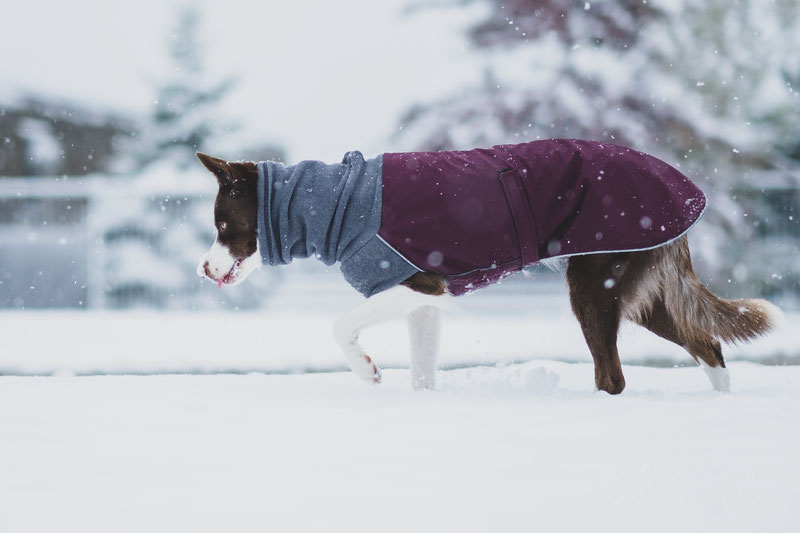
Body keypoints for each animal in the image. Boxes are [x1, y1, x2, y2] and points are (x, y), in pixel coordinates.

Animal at [197, 139, 780, 392]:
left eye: (222, 225)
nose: (203, 268)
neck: (337, 201)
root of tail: (681, 186)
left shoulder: (420, 283)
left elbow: (341, 324)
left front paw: (366, 371)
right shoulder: (423, 304)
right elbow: (423, 373)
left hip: (593, 283)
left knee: (614, 375)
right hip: (639, 291)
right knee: (708, 344)